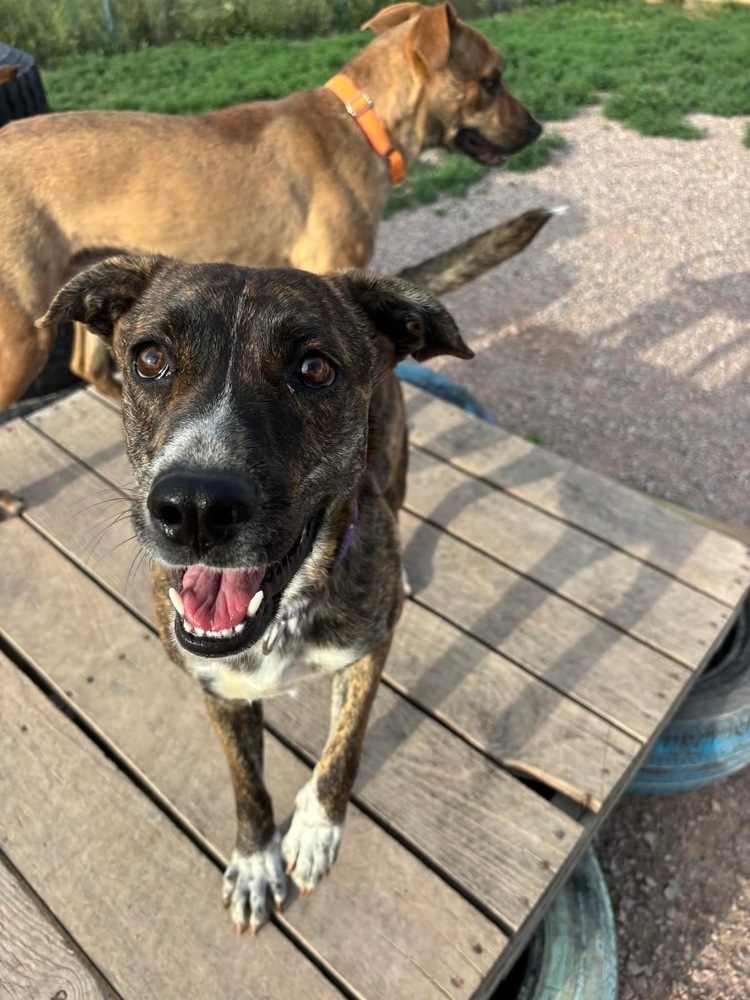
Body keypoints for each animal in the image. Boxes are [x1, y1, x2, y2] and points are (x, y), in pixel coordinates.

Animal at [38, 252, 472, 936]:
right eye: (149, 358)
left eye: (315, 369)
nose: (194, 508)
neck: (285, 613)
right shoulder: (219, 689)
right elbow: (247, 781)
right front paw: (254, 862)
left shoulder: (368, 652)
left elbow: (344, 747)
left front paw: (316, 830)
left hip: (395, 462)